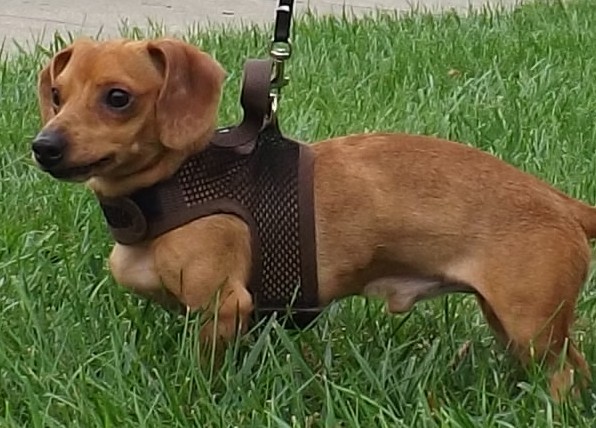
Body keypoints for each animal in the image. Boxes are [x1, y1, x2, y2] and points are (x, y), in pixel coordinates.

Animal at [32, 38, 592, 400]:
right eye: (57, 95)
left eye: (118, 98)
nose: (44, 146)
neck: (178, 179)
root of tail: (562, 202)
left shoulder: (223, 306)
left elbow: (205, 373)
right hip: (514, 324)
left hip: (533, 329)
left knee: (567, 376)